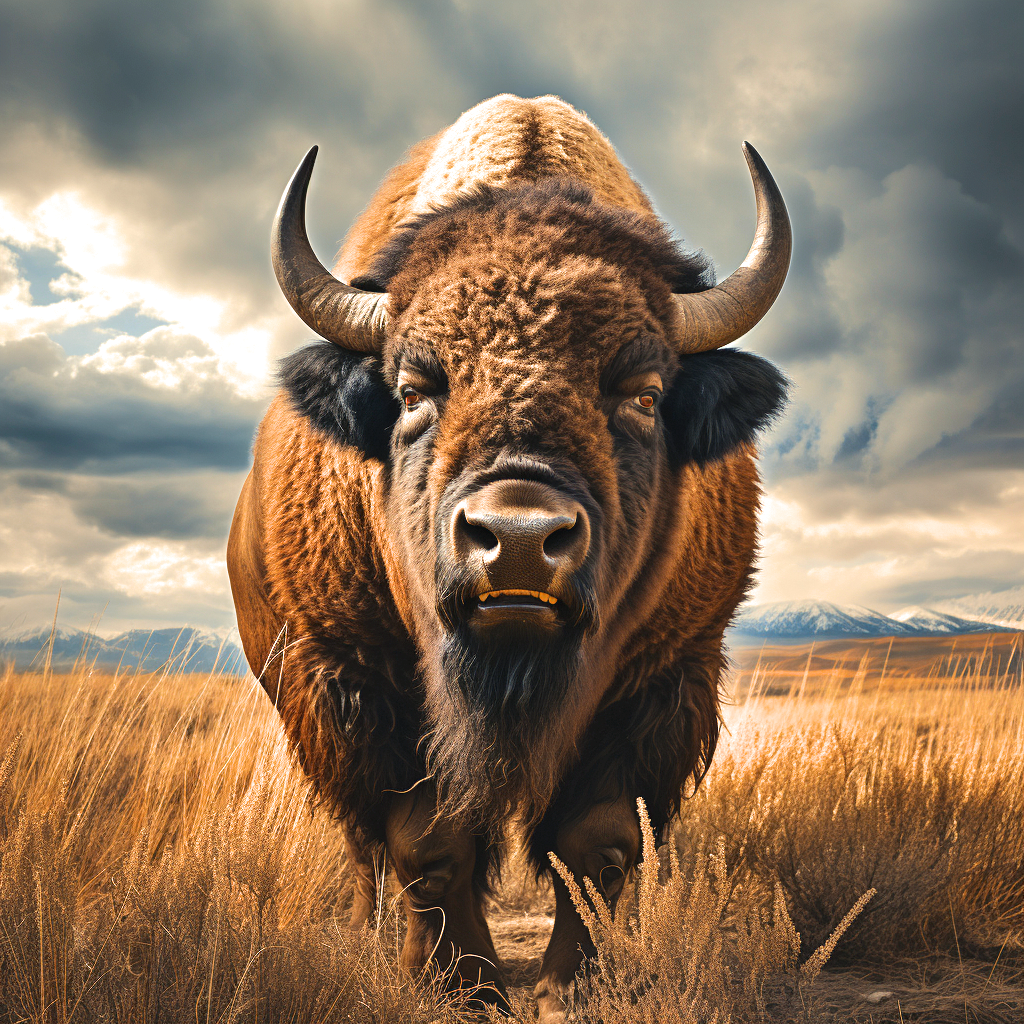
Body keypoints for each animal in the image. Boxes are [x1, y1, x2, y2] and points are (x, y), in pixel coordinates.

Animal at [228, 94, 790, 1020]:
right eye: (413, 389)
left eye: (644, 393)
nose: (520, 540)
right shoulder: (361, 678)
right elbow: (428, 840)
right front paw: (467, 988)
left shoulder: (661, 678)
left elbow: (596, 842)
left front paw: (571, 987)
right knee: (365, 849)